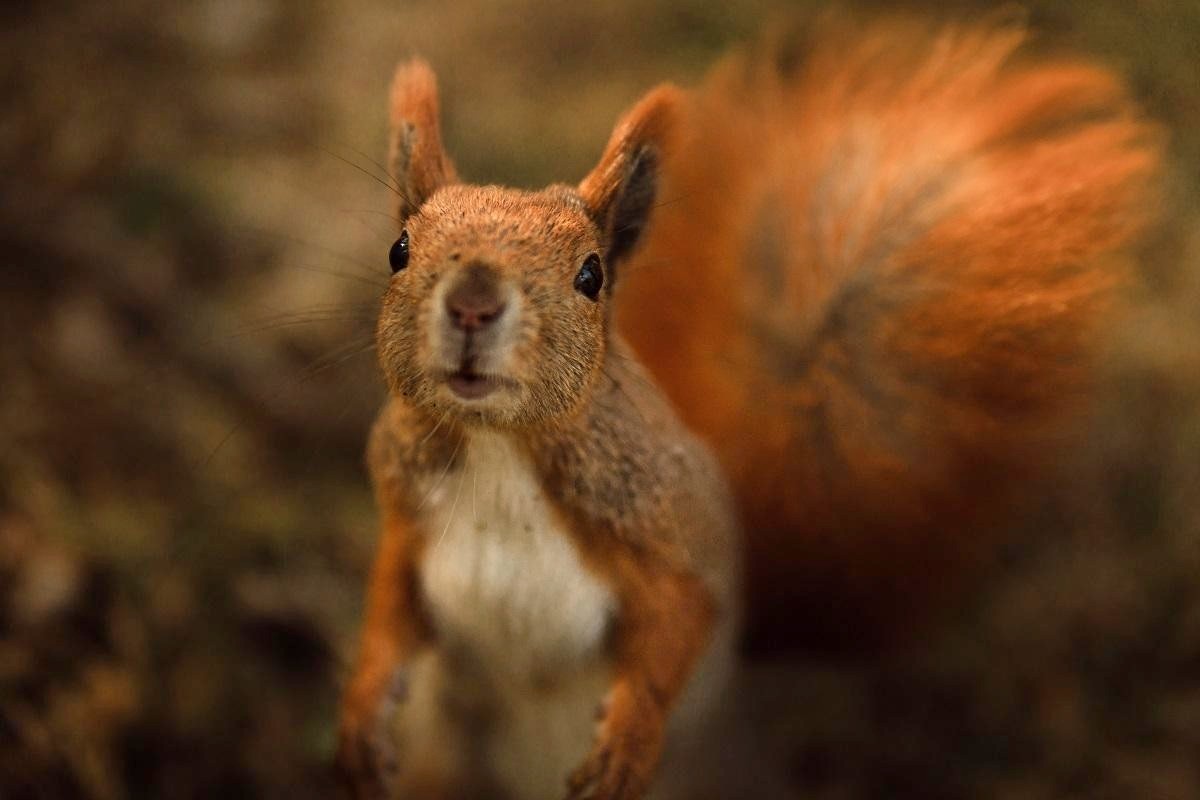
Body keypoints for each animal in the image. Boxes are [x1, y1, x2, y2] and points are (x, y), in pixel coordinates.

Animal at [335, 16, 1159, 800]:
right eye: (398, 249)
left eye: (591, 274)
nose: (473, 305)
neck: (498, 449)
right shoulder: (409, 518)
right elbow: (387, 608)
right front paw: (361, 717)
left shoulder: (671, 531)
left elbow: (679, 624)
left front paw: (629, 740)